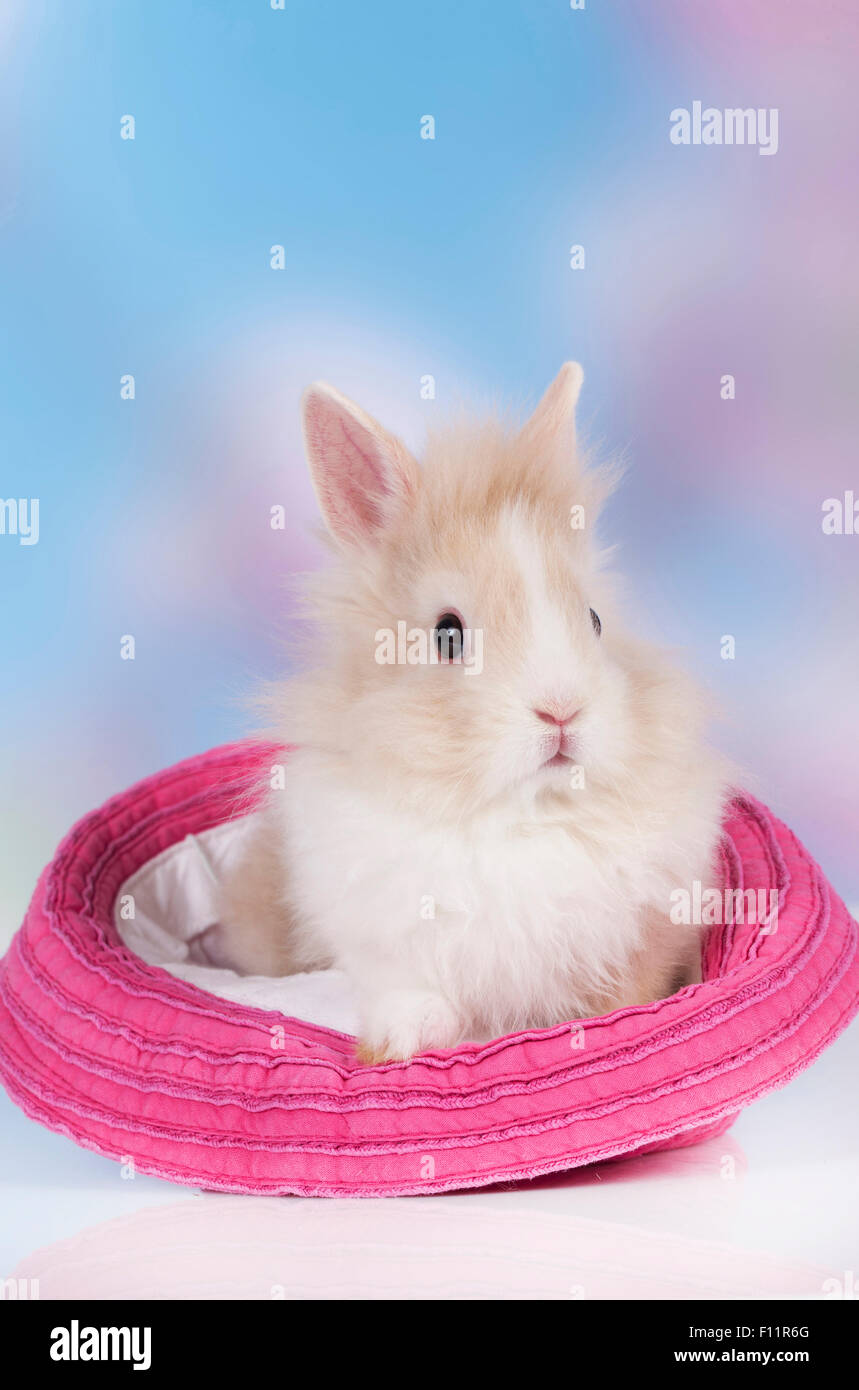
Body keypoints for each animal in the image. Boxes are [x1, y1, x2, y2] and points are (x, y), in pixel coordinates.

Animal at [217, 362, 731, 1062]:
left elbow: (629, 988)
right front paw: (400, 1044)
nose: (561, 711)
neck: (519, 813)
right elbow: (409, 988)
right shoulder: (379, 928)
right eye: (447, 634)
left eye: (594, 619)